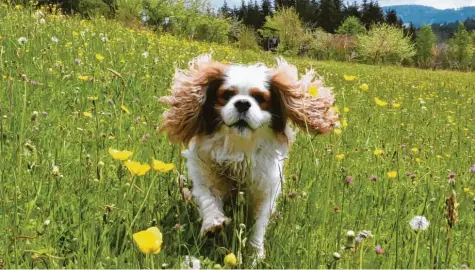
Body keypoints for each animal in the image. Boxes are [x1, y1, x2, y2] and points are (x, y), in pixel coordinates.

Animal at [160, 53, 338, 258]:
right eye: (227, 95)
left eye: (260, 98)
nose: (243, 103)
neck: (239, 147)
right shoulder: (204, 174)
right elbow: (208, 198)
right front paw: (213, 223)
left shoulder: (266, 190)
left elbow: (258, 226)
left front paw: (255, 254)